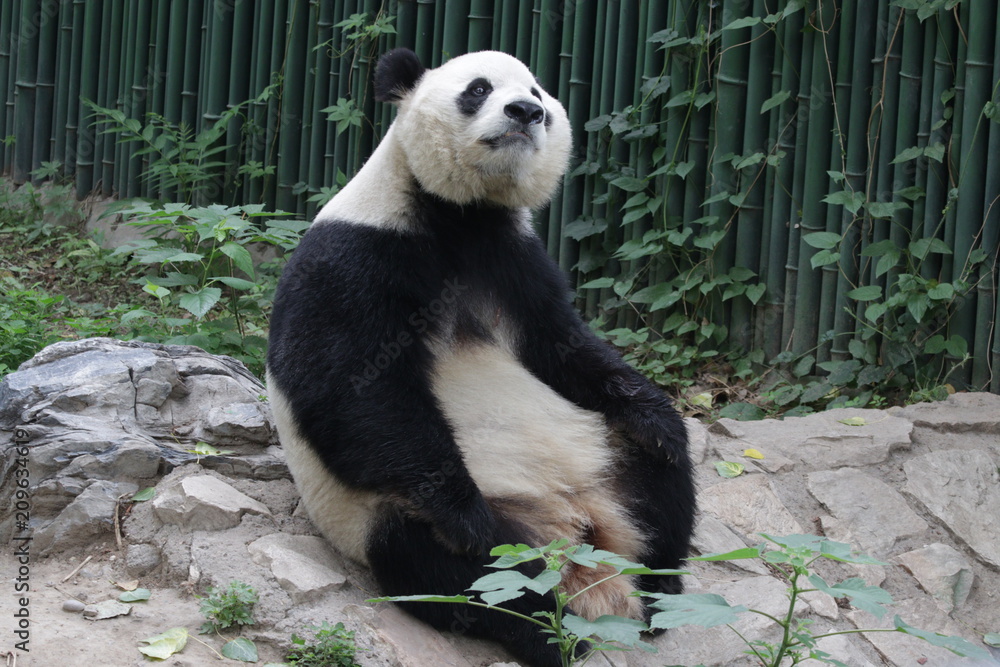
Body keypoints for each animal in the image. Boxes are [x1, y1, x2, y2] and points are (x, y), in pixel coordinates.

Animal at [266, 48, 695, 667]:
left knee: (661, 485)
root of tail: (575, 533)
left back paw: (661, 591)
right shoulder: (355, 255)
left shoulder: (515, 258)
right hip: (384, 516)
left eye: (538, 92)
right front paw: (463, 514)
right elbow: (350, 388)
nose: (526, 112)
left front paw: (659, 417)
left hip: (604, 457)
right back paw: (550, 631)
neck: (460, 214)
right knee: (477, 575)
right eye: (478, 89)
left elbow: (565, 349)